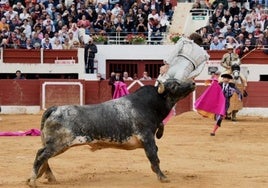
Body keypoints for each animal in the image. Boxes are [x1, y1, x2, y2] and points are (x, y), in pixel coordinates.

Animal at [26, 79, 195, 187]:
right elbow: (154, 156)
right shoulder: (147, 138)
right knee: (41, 156)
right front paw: (163, 177)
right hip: (59, 144)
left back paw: (48, 178)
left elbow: (155, 155)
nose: (193, 83)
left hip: (57, 145)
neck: (149, 104)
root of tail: (55, 108)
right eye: (174, 85)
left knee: (42, 155)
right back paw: (33, 181)